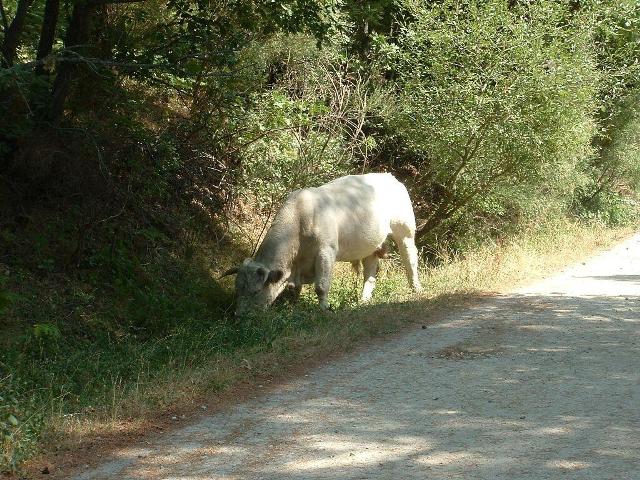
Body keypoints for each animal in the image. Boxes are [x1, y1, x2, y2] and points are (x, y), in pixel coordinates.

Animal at [222, 173, 422, 315]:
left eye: (256, 291)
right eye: (237, 289)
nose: (239, 316)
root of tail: (389, 177)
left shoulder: (326, 251)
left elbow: (321, 286)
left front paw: (324, 309)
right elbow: (296, 288)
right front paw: (293, 306)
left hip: (404, 230)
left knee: (410, 259)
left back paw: (416, 288)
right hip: (370, 244)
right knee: (370, 271)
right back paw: (363, 301)